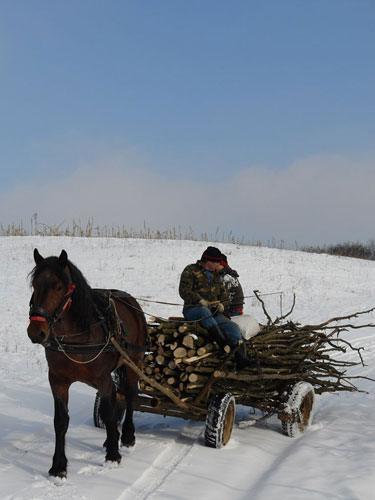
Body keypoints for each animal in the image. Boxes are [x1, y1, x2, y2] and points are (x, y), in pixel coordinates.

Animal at [27, 248, 148, 478]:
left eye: (59, 287)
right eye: (35, 285)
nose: (36, 332)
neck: (78, 336)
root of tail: (130, 301)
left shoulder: (102, 378)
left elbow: (109, 413)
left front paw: (113, 456)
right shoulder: (57, 381)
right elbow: (61, 421)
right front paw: (58, 467)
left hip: (133, 362)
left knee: (130, 396)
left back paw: (127, 436)